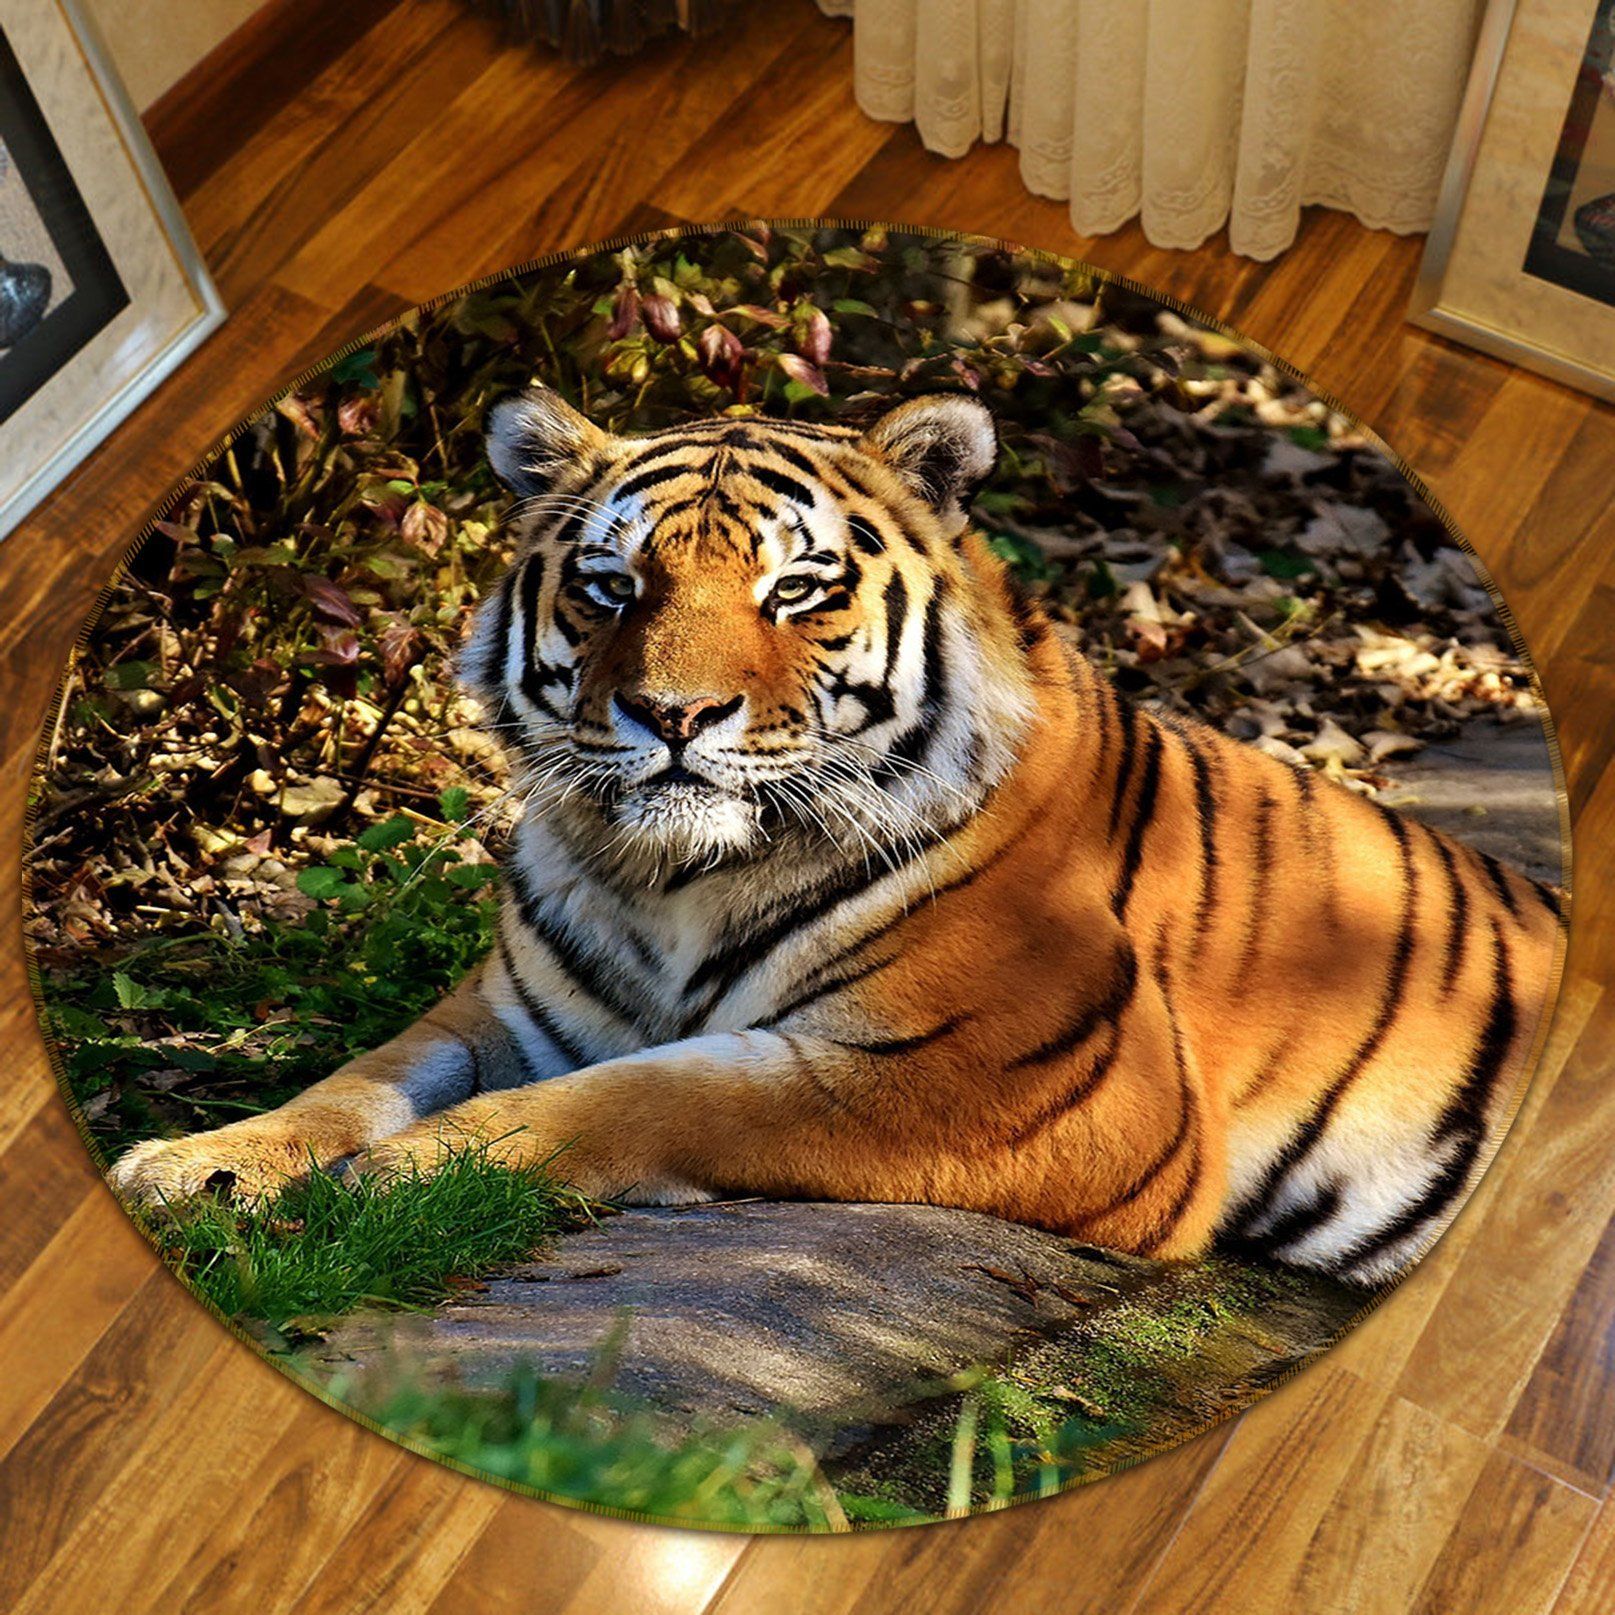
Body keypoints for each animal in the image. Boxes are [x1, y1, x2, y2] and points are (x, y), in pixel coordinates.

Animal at [106, 386, 1564, 1285]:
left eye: (795, 590)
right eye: (611, 584)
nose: (669, 712)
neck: (670, 880)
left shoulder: (1045, 1084)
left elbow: (665, 1090)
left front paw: (400, 1177)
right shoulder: (511, 1009)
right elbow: (358, 1075)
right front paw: (202, 1162)